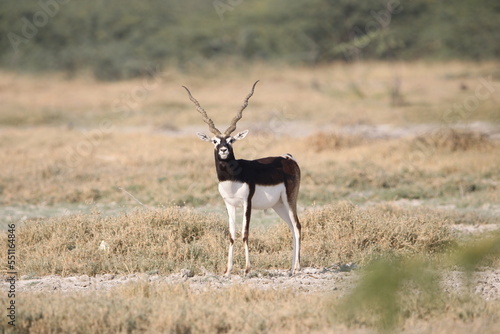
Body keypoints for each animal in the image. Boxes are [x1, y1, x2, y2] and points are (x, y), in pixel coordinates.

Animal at [183, 81, 302, 276]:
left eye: (231, 140)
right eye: (215, 141)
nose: (223, 150)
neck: (233, 179)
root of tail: (287, 157)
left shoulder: (248, 203)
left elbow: (245, 233)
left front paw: (247, 269)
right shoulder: (229, 204)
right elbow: (232, 235)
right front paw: (227, 270)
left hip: (290, 198)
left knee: (297, 226)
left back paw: (298, 267)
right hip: (278, 205)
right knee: (291, 227)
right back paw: (291, 268)